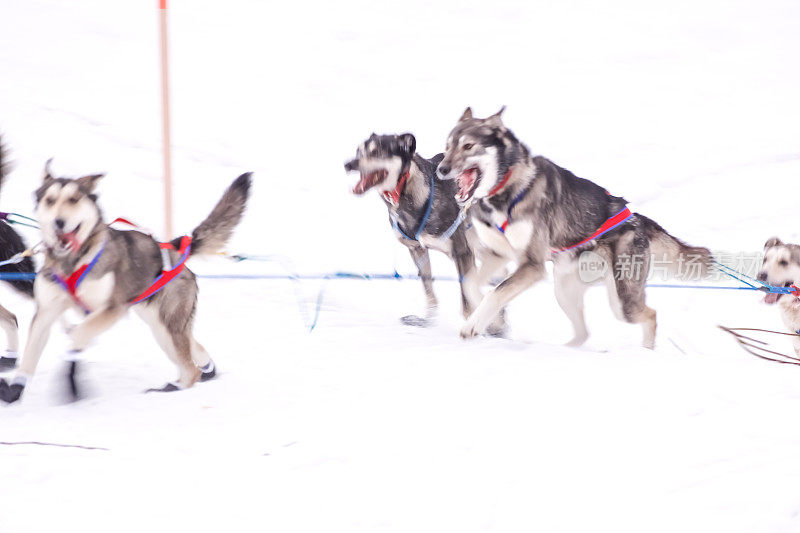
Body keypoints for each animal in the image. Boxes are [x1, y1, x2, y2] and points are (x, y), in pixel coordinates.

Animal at [0, 166, 252, 404]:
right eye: (50, 200)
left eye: (74, 199)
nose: (59, 222)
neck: (73, 260)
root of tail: (174, 248)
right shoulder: (47, 312)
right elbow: (31, 357)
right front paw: (15, 390)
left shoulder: (111, 310)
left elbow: (78, 335)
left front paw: (71, 380)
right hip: (159, 324)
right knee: (193, 348)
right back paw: (203, 370)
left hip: (165, 327)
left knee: (190, 369)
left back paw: (175, 387)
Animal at [346, 132, 504, 328]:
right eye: (358, 151)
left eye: (376, 152)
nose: (348, 164)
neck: (406, 191)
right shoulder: (417, 250)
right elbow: (429, 289)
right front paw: (428, 319)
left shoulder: (461, 252)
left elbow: (467, 298)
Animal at [438, 107, 712, 350]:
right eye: (447, 146)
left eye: (468, 146)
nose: (442, 169)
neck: (507, 189)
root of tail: (636, 219)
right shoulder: (499, 255)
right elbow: (470, 283)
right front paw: (487, 318)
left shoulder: (531, 265)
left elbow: (495, 293)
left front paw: (472, 325)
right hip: (564, 290)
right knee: (583, 333)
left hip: (622, 301)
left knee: (650, 315)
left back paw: (645, 351)